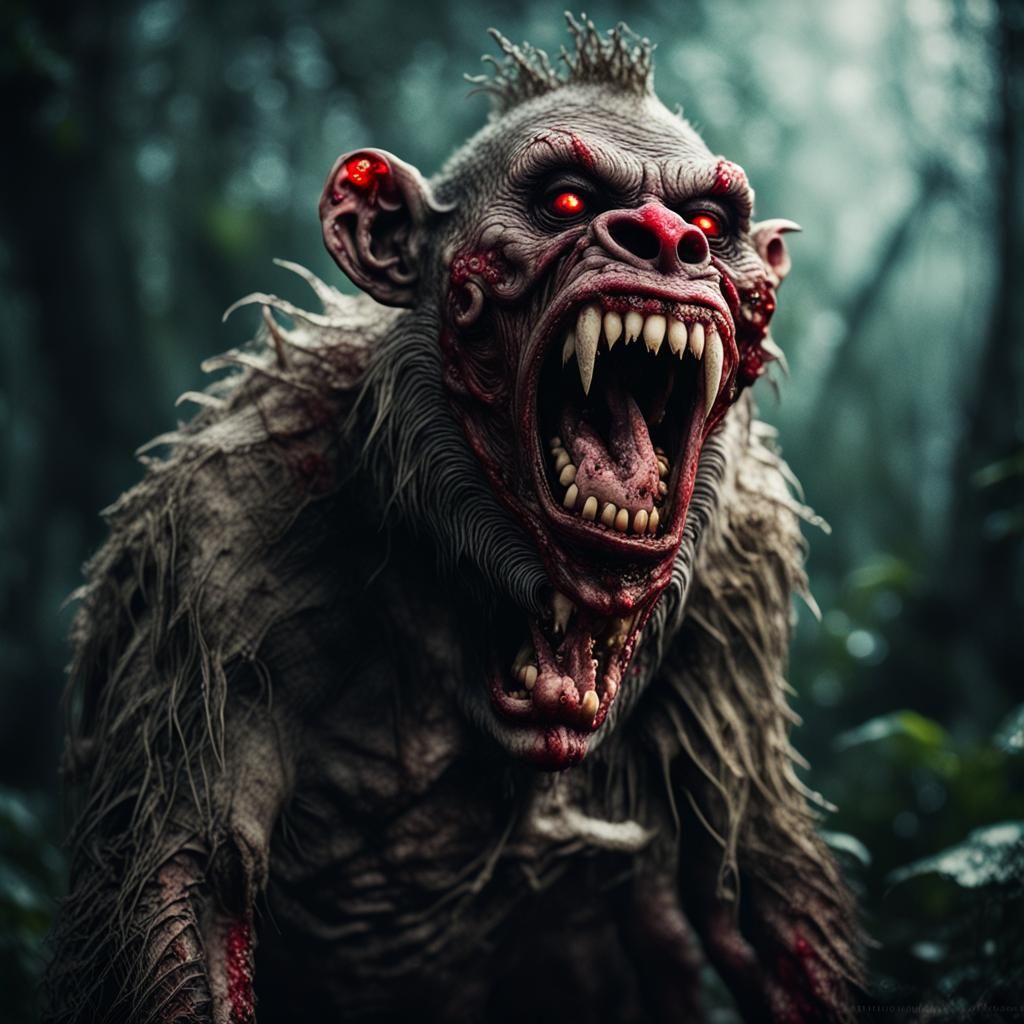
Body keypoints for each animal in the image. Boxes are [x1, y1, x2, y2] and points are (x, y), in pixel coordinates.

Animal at [46, 16, 863, 1024]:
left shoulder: (742, 574)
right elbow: (193, 893)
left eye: (712, 225)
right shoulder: (218, 539)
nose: (670, 239)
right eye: (565, 200)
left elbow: (760, 895)